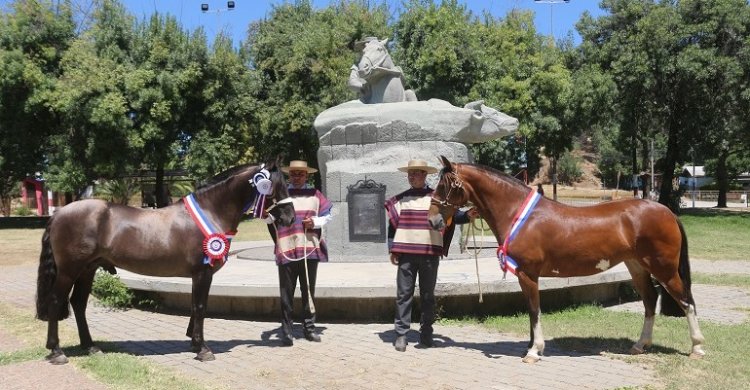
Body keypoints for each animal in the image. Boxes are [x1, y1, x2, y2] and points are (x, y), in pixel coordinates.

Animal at [36, 157, 296, 364]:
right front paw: (203, 349)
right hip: (69, 271)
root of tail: (59, 214)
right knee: (56, 301)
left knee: (78, 304)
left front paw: (194, 343)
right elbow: (200, 307)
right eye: (275, 187)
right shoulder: (202, 273)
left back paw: (90, 347)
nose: (290, 218)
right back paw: (57, 351)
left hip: (87, 270)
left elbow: (195, 306)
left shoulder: (198, 276)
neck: (210, 211)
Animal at [426, 157, 708, 364]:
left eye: (445, 186)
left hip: (664, 268)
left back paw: (697, 348)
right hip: (637, 267)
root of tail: (666, 211)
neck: (519, 214)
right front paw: (530, 347)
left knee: (686, 301)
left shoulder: (528, 274)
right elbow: (531, 311)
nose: (433, 220)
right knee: (650, 301)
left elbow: (534, 310)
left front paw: (533, 352)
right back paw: (639, 346)